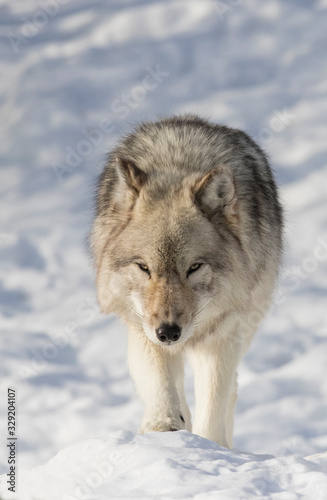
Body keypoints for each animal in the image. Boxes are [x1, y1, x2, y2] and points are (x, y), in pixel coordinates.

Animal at [91, 115, 284, 448]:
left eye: (193, 267)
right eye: (144, 267)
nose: (169, 332)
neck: (177, 164)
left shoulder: (221, 337)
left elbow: (214, 406)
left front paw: (211, 447)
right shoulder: (142, 330)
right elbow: (162, 389)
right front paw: (165, 427)